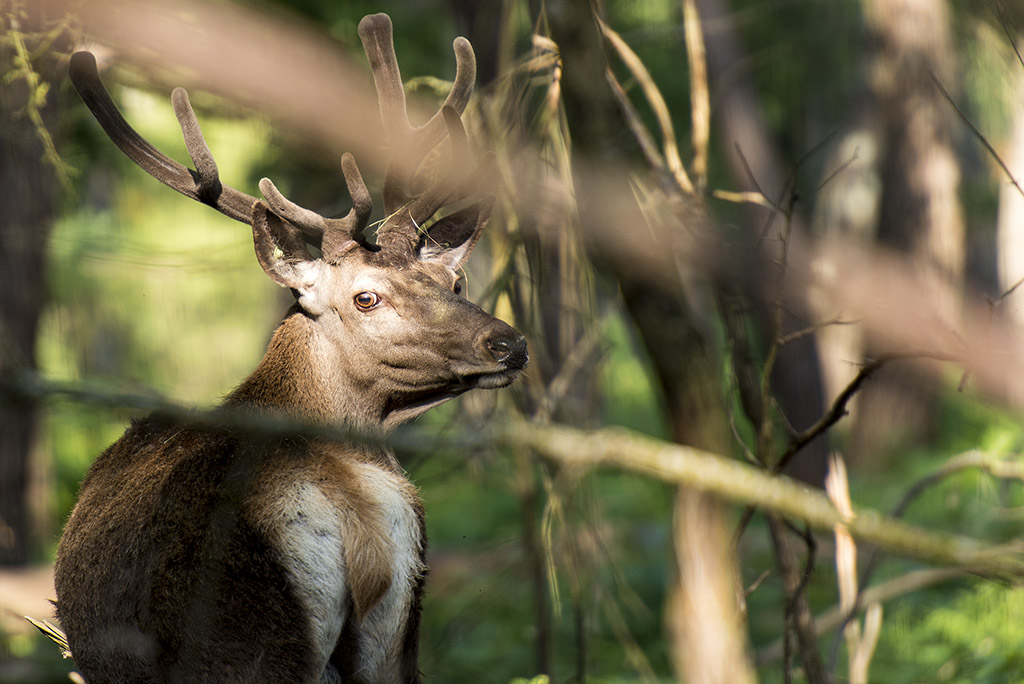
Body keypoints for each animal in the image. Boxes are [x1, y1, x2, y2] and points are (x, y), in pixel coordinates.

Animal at [54, 12, 528, 684]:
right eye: (366, 297)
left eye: (454, 283)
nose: (509, 343)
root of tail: (351, 503)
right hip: (396, 628)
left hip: (246, 633)